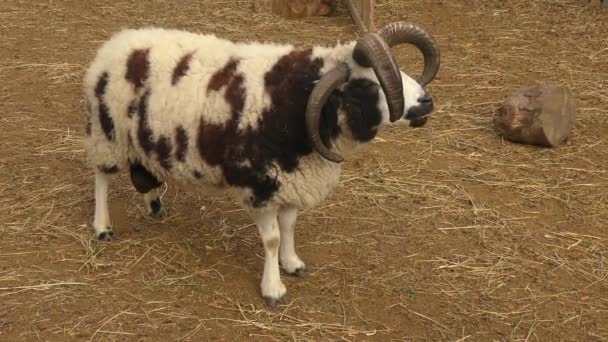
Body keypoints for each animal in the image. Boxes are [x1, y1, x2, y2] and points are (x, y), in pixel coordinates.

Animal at [83, 20, 440, 306]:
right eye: (366, 85)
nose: (425, 103)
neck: (296, 99)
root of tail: (112, 44)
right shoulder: (261, 184)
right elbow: (271, 239)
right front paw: (273, 289)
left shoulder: (293, 178)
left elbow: (289, 226)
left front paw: (292, 263)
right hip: (107, 133)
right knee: (101, 177)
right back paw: (103, 227)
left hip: (140, 137)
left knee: (142, 172)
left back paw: (155, 205)